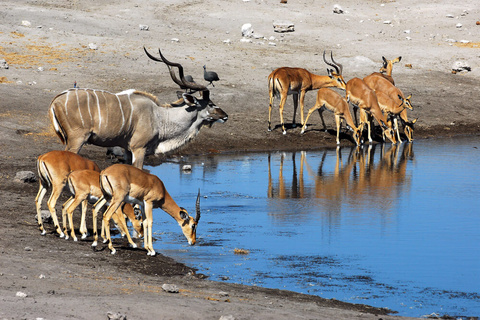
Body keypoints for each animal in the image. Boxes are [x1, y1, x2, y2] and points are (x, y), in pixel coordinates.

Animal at [48, 47, 227, 170]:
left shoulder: (127, 151)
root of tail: (56, 100)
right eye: (211, 104)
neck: (159, 116)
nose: (225, 116)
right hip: (77, 140)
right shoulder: (138, 149)